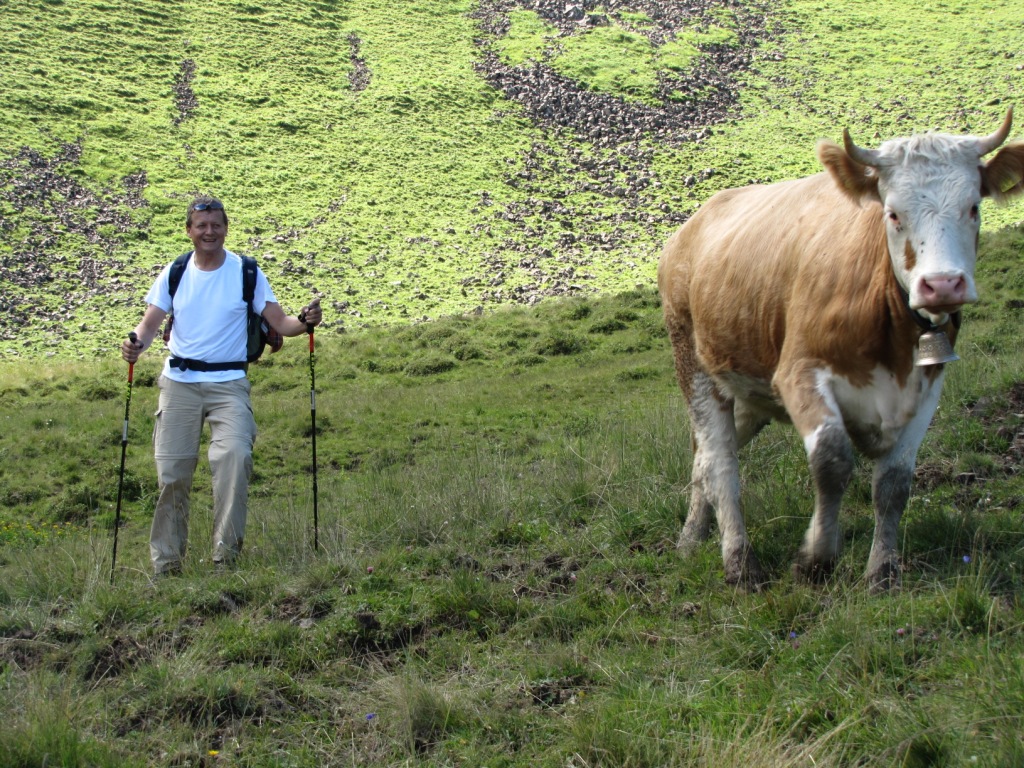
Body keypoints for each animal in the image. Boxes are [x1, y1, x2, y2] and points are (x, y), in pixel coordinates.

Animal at [655, 111, 1024, 593]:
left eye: (974, 208)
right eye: (893, 213)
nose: (942, 284)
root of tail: (689, 228)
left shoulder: (929, 385)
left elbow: (894, 484)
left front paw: (882, 571)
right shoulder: (799, 372)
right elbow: (832, 461)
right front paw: (815, 559)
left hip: (750, 388)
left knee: (704, 457)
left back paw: (690, 539)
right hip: (695, 365)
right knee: (719, 462)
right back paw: (739, 563)